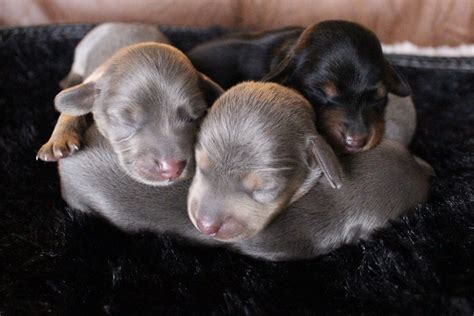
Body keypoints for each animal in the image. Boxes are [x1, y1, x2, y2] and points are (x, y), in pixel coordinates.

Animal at [37, 24, 222, 185]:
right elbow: (70, 111)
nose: (172, 168)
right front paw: (58, 141)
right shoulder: (92, 78)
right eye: (125, 120)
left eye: (194, 117)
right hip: (83, 50)